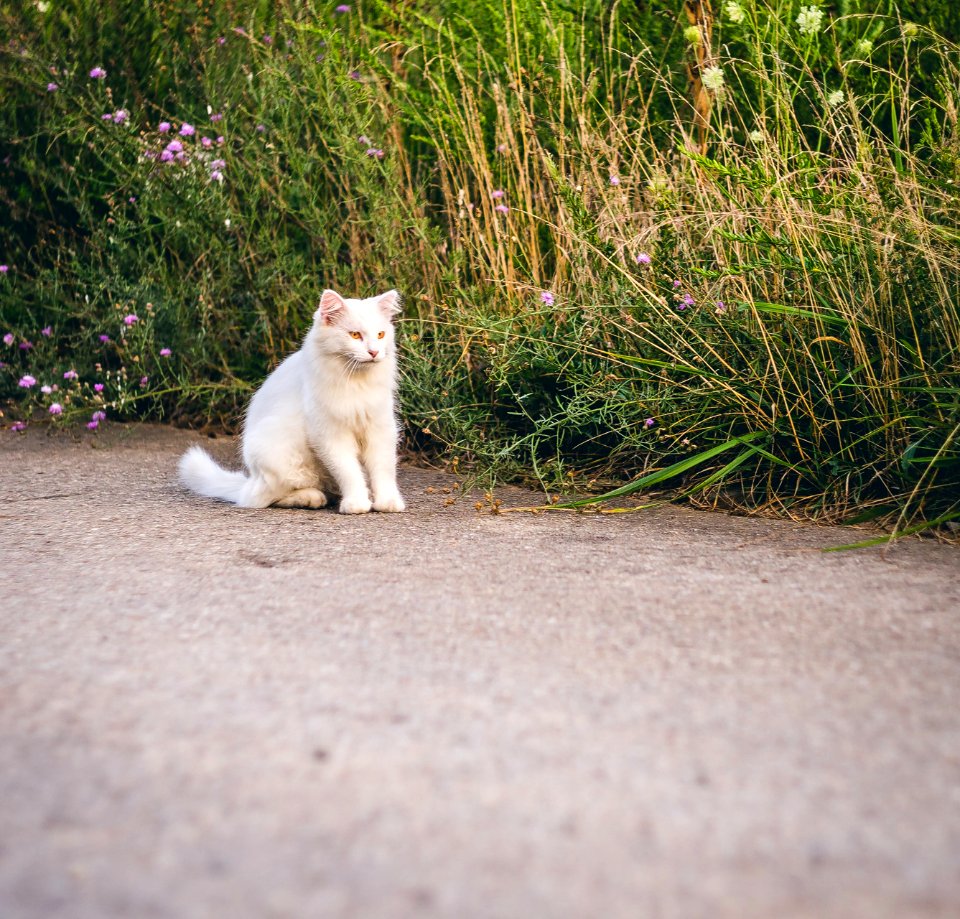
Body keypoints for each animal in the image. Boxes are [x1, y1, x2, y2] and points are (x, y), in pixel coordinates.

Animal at [177, 290, 404, 512]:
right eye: (355, 335)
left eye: (380, 334)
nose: (374, 352)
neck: (357, 383)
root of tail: (249, 480)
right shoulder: (330, 434)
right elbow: (348, 472)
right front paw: (356, 503)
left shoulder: (380, 428)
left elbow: (383, 470)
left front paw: (387, 502)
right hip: (278, 451)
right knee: (260, 499)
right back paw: (311, 498)